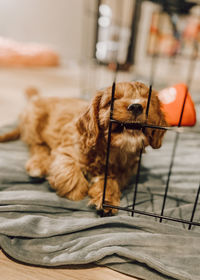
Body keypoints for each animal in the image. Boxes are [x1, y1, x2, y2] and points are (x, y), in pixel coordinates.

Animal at [0, 82, 167, 213]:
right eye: (112, 100)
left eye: (148, 101)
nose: (136, 106)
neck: (112, 151)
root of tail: (35, 98)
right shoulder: (65, 151)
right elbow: (69, 170)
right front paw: (77, 192)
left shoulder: (124, 171)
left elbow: (111, 181)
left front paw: (107, 198)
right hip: (34, 122)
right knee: (37, 145)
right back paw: (38, 165)